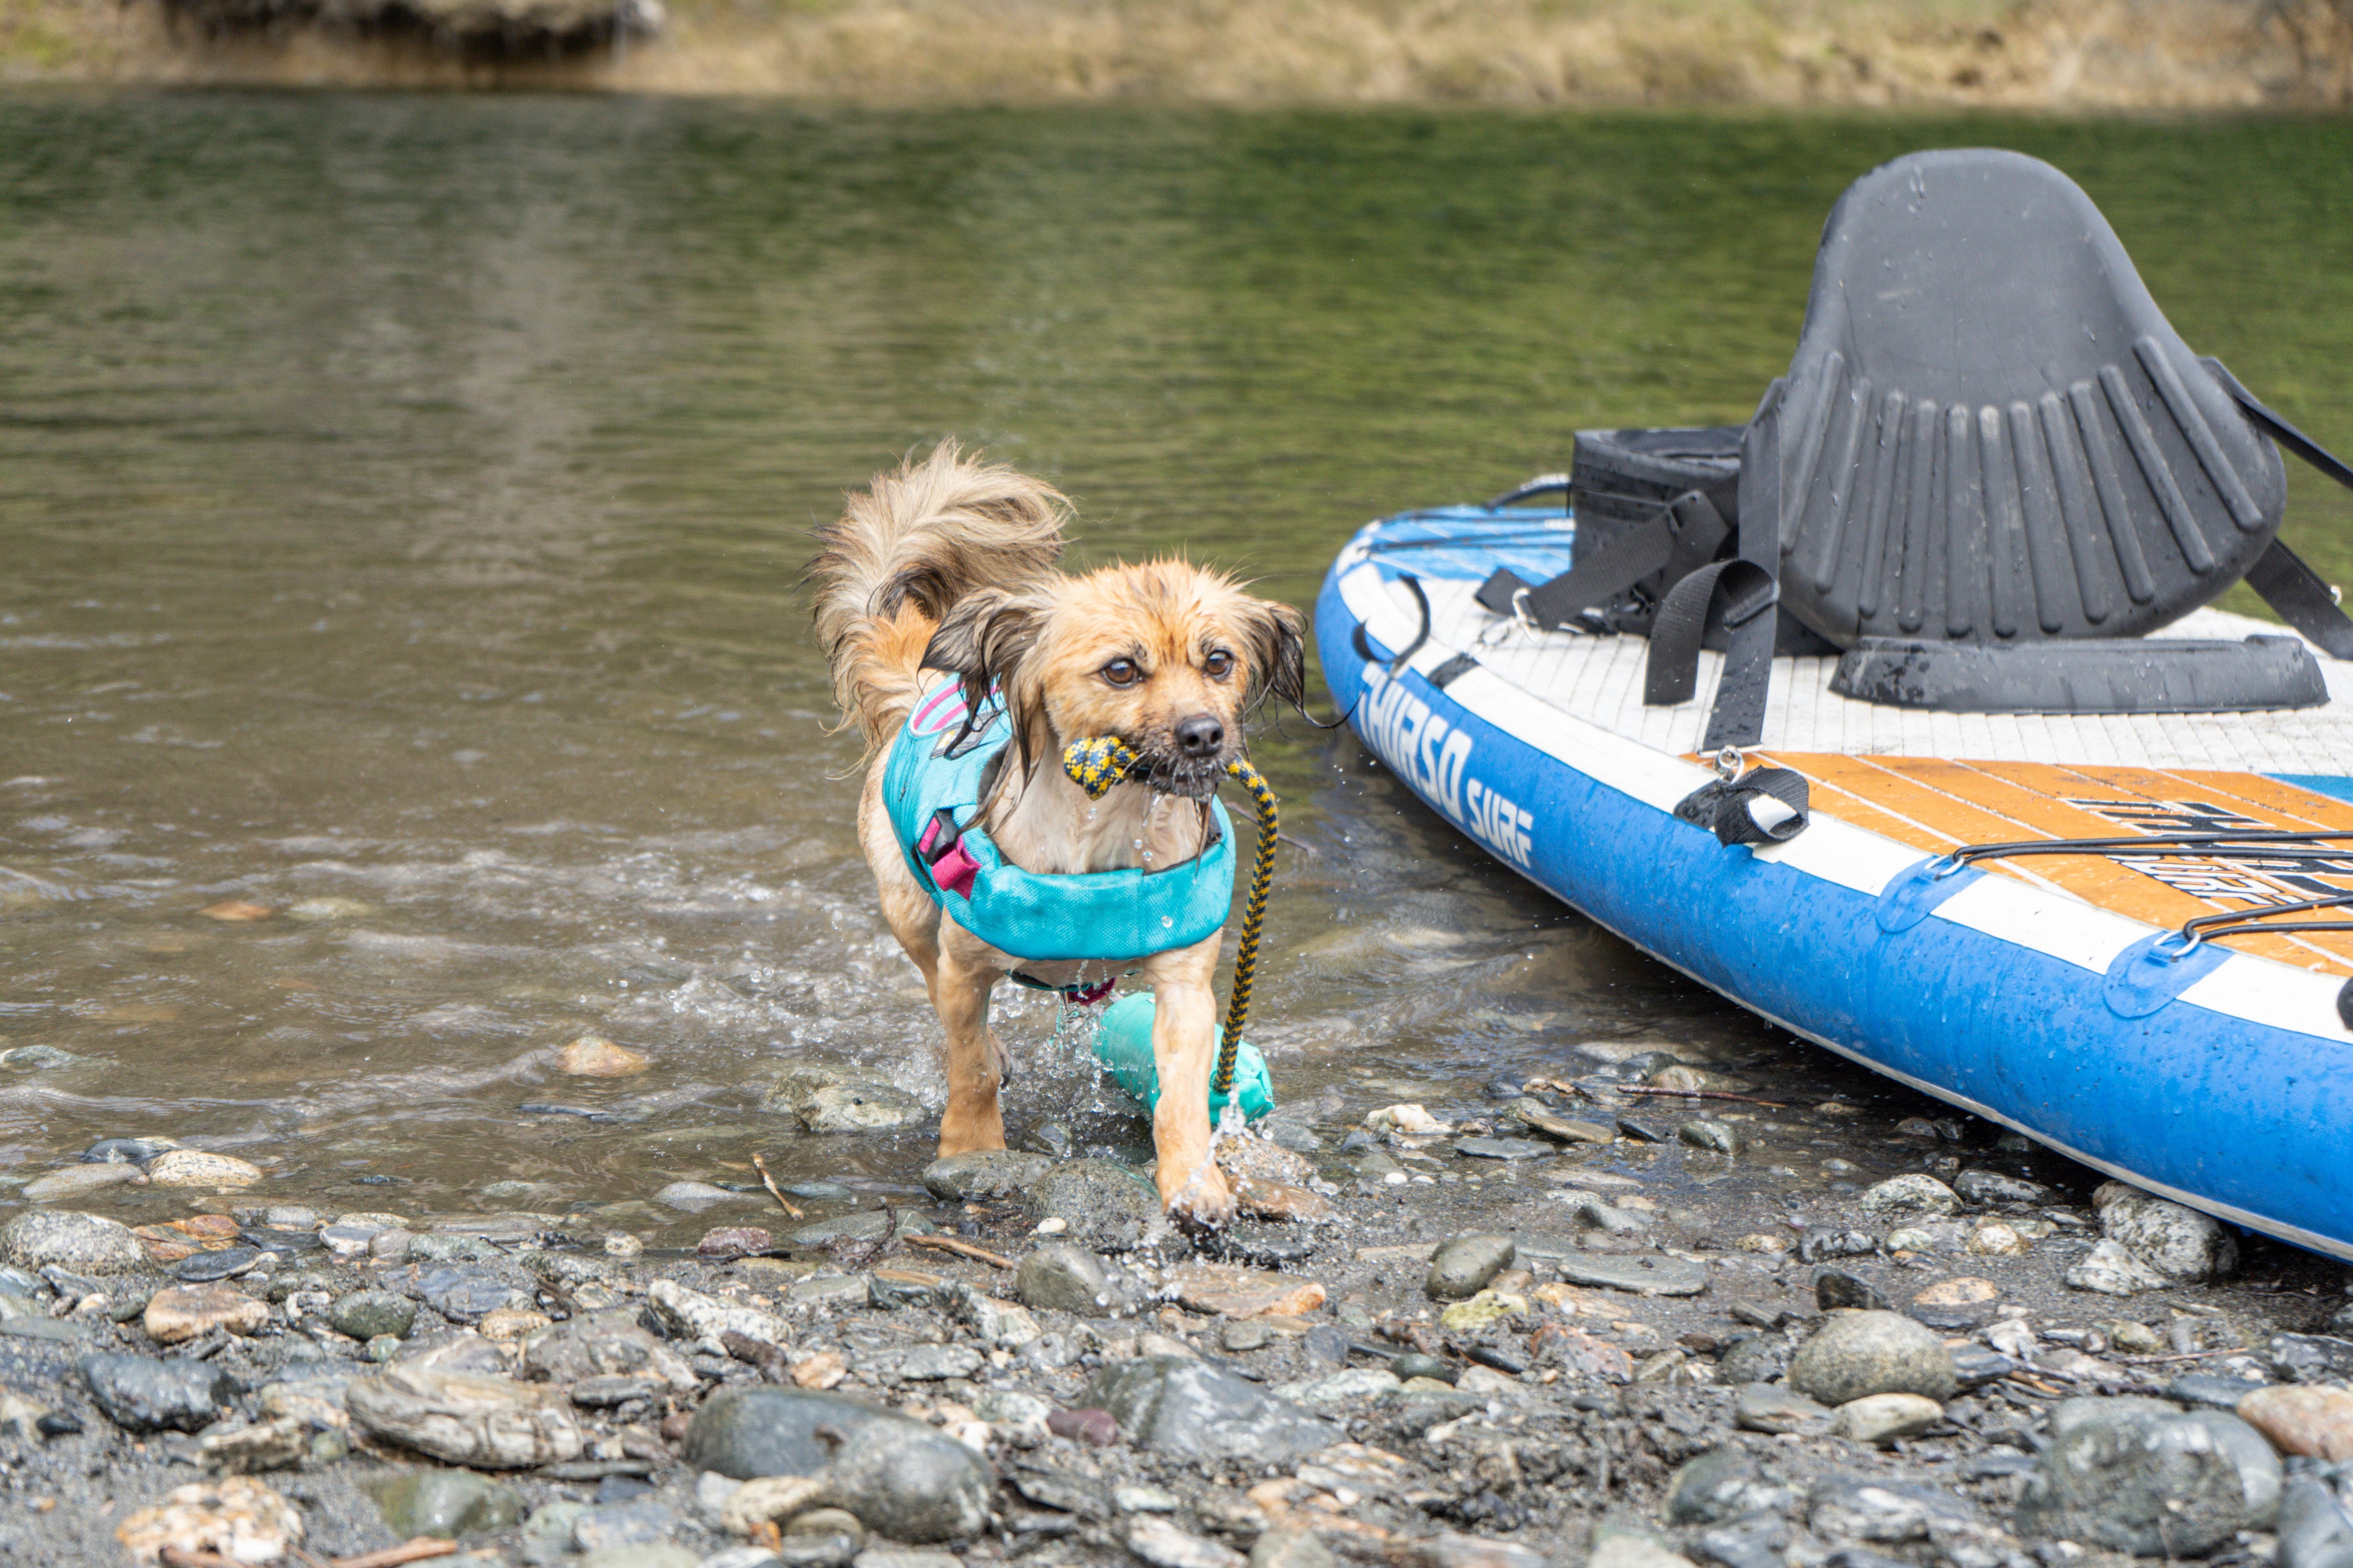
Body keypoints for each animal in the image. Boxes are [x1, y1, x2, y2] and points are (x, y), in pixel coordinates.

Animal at [819, 442, 1308, 1222]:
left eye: (1219, 660)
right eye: (1121, 669)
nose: (1205, 734)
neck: (1107, 832)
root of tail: (924, 687)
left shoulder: (1183, 981)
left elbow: (1181, 1090)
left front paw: (1194, 1181)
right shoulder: (966, 967)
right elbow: (970, 1063)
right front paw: (972, 1148)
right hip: (907, 905)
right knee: (931, 977)